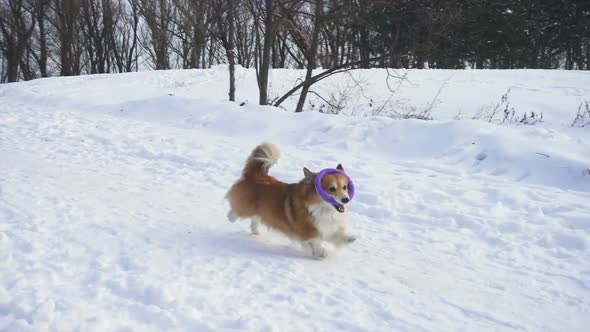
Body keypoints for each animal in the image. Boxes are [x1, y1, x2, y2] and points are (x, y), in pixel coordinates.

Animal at [225, 141, 356, 258]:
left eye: (344, 187)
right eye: (331, 189)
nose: (346, 199)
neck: (322, 207)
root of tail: (256, 175)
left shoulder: (327, 226)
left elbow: (337, 235)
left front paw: (350, 238)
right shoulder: (306, 229)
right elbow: (315, 239)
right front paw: (321, 252)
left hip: (259, 209)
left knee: (255, 218)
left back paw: (255, 231)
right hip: (246, 207)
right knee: (235, 212)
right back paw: (231, 217)